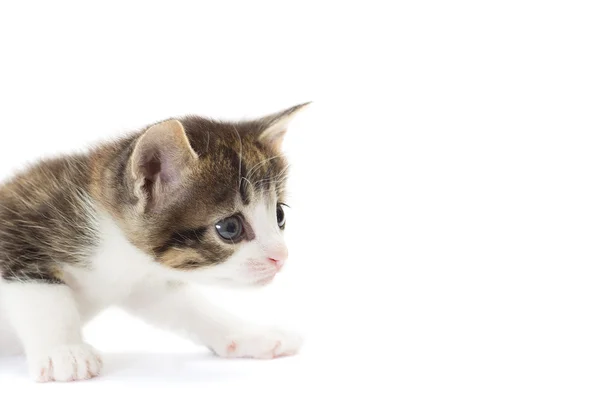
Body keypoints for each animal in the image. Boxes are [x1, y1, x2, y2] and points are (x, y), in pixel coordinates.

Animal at [0, 104, 310, 384]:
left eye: (279, 215)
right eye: (229, 228)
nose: (281, 257)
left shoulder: (144, 283)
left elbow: (186, 307)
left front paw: (250, 334)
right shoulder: (17, 231)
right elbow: (44, 295)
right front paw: (65, 350)